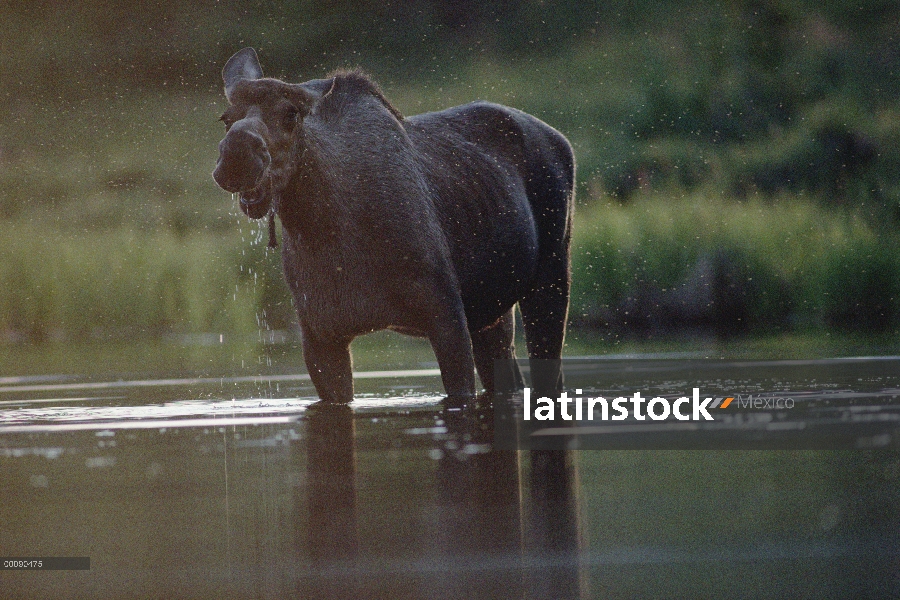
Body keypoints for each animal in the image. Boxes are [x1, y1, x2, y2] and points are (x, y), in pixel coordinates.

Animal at [214, 47, 572, 404]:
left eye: (291, 114)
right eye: (226, 118)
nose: (237, 154)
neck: (325, 229)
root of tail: (562, 138)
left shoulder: (447, 315)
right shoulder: (320, 338)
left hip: (551, 278)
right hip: (492, 313)